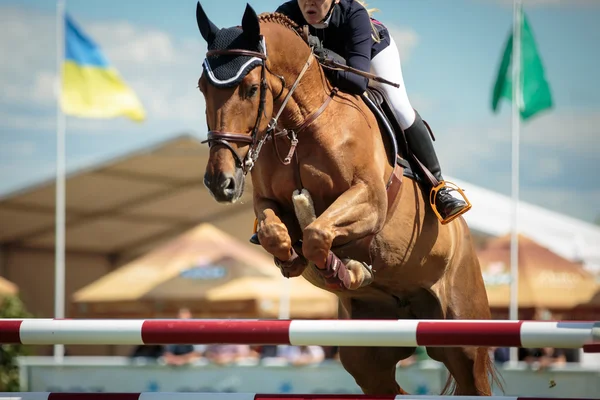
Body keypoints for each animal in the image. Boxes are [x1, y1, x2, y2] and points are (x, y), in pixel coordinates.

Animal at [195, 2, 500, 396]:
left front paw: (343, 269)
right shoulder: (266, 202)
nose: (221, 182)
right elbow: (276, 233)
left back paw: (446, 201)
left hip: (464, 336)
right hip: (365, 354)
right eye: (202, 87)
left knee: (471, 376)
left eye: (251, 88)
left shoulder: (369, 201)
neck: (300, 124)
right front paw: (296, 261)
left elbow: (317, 232)